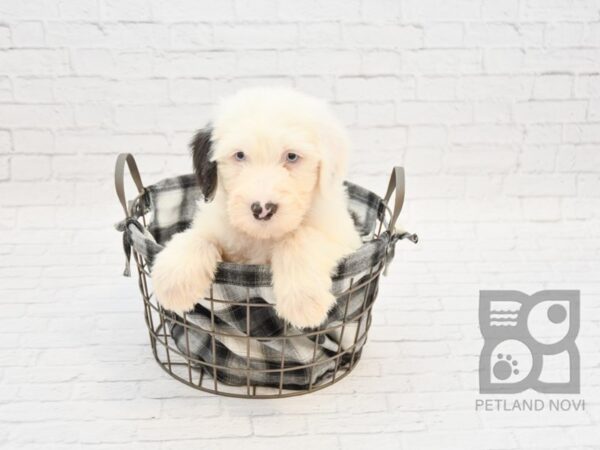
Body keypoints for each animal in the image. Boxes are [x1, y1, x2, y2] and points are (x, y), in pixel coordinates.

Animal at [152, 87, 364, 326]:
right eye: (239, 155)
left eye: (292, 156)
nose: (262, 209)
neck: (262, 237)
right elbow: (198, 236)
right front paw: (174, 279)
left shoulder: (347, 241)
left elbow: (298, 237)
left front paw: (302, 299)